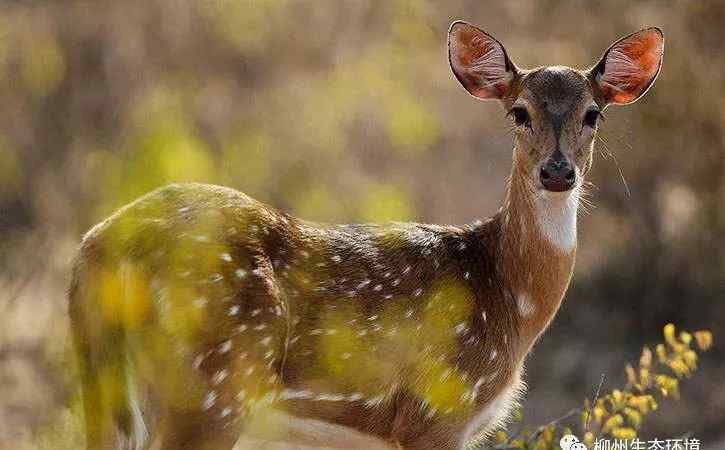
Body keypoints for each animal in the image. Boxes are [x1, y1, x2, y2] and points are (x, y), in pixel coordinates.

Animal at [68, 22, 660, 450]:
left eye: (593, 115)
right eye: (519, 111)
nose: (558, 172)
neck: (509, 299)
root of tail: (98, 248)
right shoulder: (435, 412)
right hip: (214, 386)